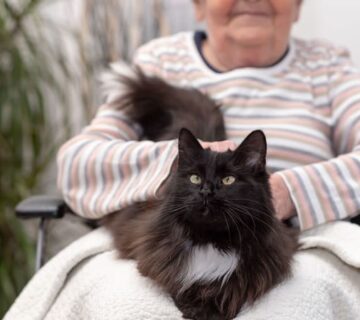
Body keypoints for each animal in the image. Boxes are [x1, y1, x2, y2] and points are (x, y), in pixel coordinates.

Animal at [102, 65, 298, 320]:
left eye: (228, 180)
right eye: (195, 178)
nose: (206, 191)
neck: (212, 241)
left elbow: (230, 291)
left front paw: (212, 308)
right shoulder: (156, 256)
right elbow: (181, 287)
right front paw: (194, 307)